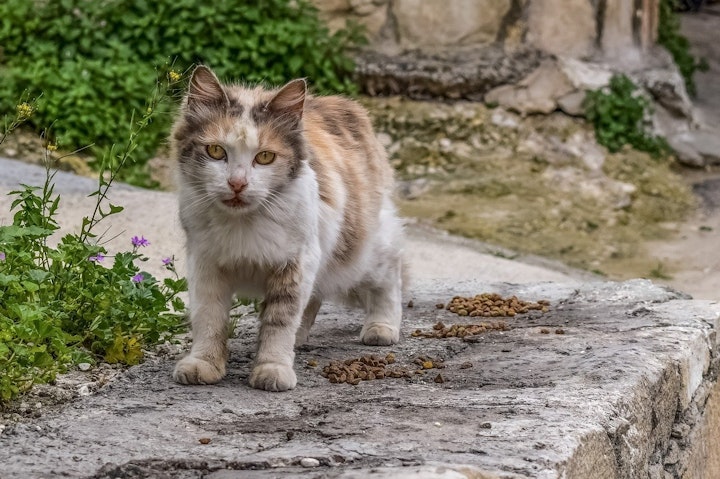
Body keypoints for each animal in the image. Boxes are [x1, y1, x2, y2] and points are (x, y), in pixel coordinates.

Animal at [169, 65, 404, 392]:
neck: (242, 223)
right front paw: (205, 364)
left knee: (389, 279)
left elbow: (279, 322)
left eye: (265, 157)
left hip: (365, 250)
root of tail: (346, 105)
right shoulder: (206, 264)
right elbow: (209, 318)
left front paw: (272, 368)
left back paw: (382, 327)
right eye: (216, 151)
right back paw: (301, 339)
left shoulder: (295, 264)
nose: (237, 184)